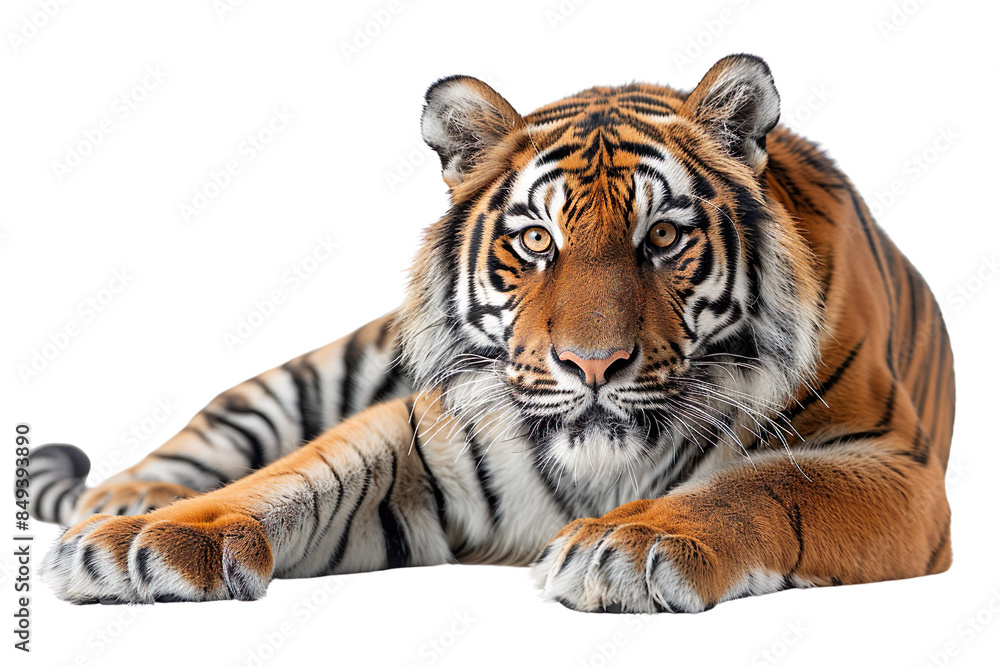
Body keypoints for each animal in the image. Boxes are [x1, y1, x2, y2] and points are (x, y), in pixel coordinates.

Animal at [32, 53, 955, 613]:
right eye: (537, 241)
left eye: (662, 236)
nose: (591, 363)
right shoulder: (417, 427)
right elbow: (291, 477)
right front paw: (148, 540)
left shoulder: (895, 465)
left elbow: (762, 483)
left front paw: (633, 541)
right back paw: (127, 499)